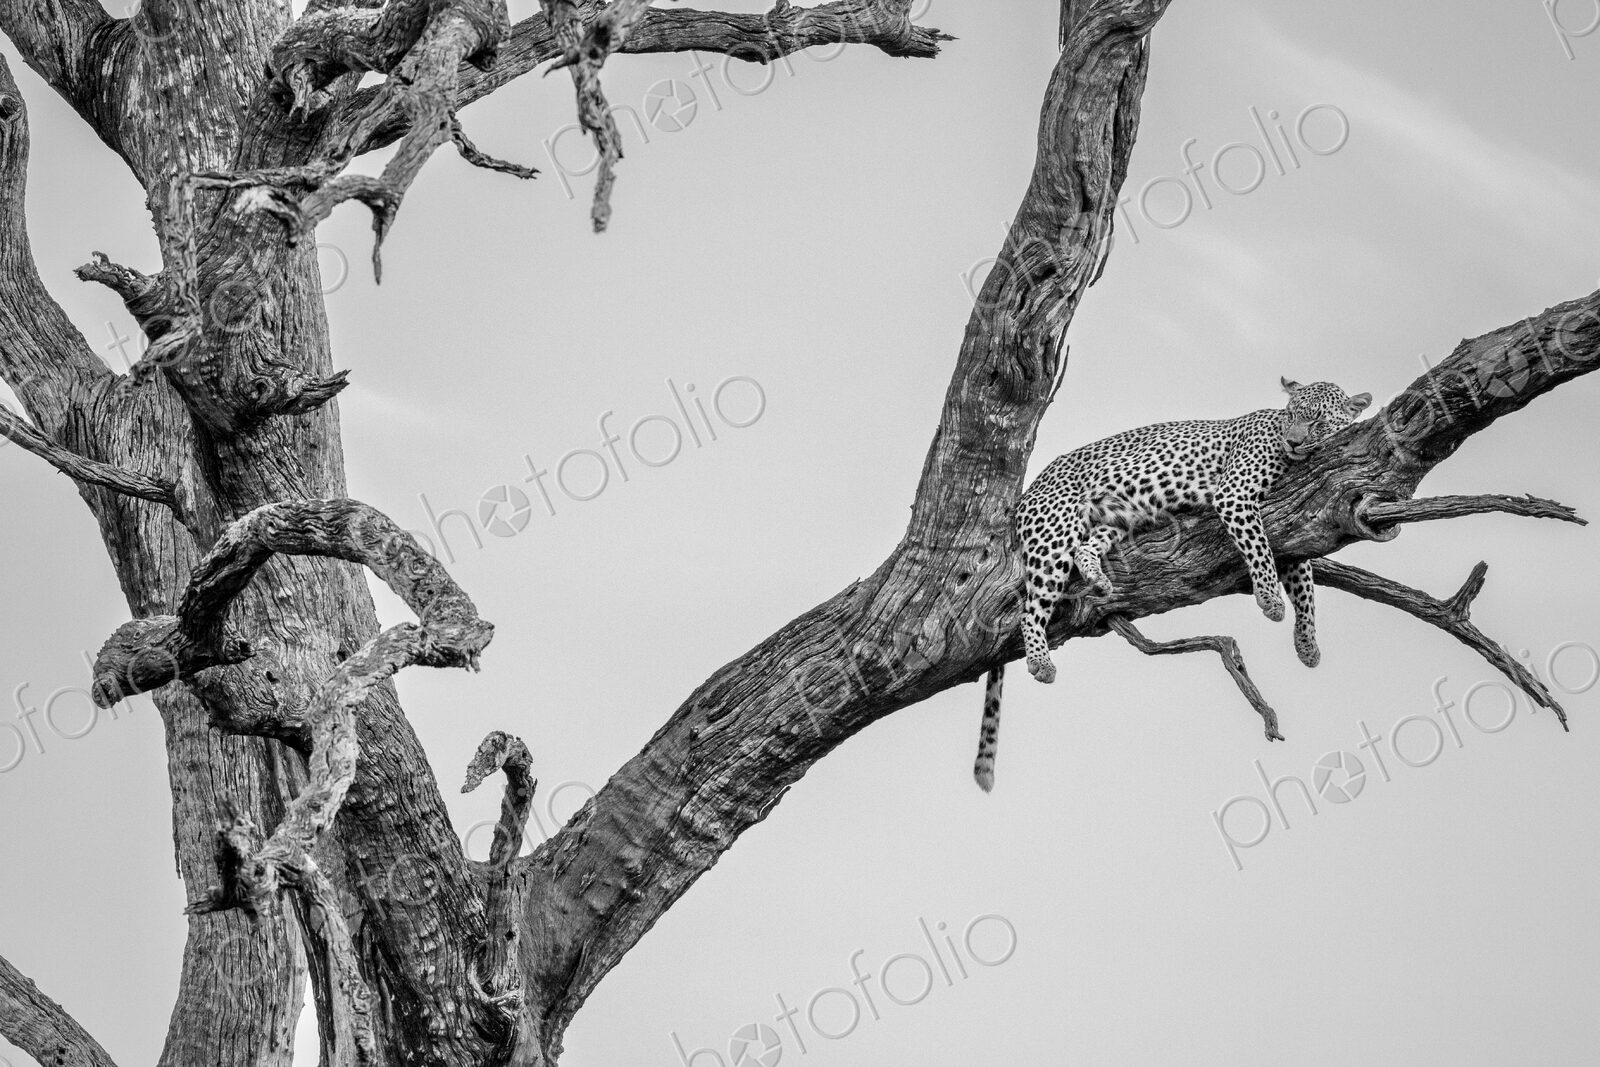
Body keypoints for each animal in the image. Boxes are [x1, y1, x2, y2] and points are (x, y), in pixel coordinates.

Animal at [973, 377, 1373, 792]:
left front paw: (1307, 645)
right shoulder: (1235, 494)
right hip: (1053, 534)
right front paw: (1270, 601)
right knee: (1030, 610)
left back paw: (1099, 581)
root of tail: (1029, 490)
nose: (1293, 441)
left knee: (1085, 550)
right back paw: (1041, 662)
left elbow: (1305, 585)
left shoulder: (1297, 525)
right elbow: (1259, 546)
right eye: (1291, 416)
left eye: (1318, 422)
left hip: (1113, 520)